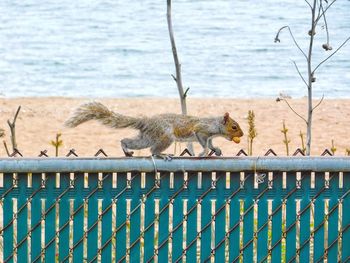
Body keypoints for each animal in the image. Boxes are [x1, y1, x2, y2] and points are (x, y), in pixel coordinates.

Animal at [65, 102, 243, 158]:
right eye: (234, 126)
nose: (241, 134)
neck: (215, 124)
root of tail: (145, 122)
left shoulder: (210, 136)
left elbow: (211, 144)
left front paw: (217, 150)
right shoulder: (201, 130)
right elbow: (204, 143)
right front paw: (203, 152)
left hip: (147, 137)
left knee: (129, 141)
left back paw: (126, 149)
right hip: (165, 136)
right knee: (152, 151)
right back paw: (162, 155)